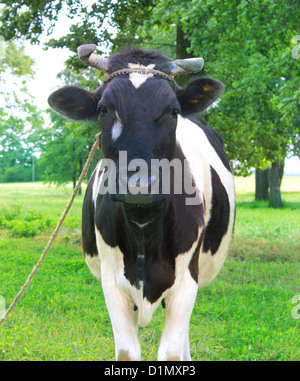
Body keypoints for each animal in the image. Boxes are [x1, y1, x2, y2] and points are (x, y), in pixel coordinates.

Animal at [48, 43, 234, 360]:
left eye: (173, 111)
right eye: (104, 109)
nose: (139, 184)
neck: (144, 227)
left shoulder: (188, 281)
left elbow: (171, 353)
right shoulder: (111, 282)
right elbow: (127, 352)